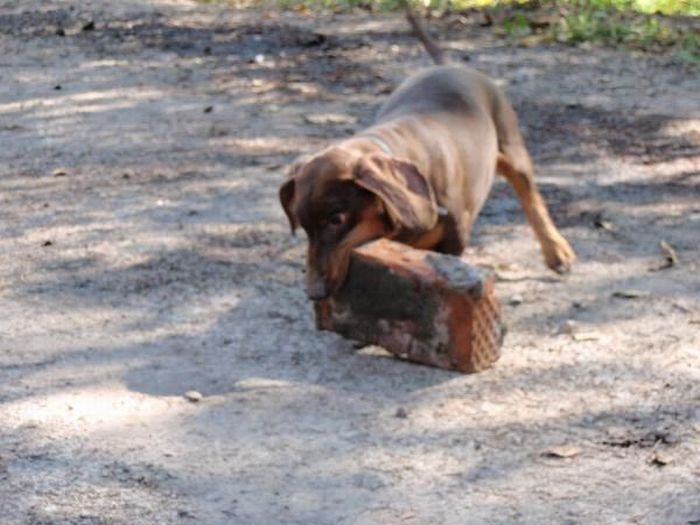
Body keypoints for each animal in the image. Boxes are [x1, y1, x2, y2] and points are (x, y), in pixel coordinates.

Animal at [278, 6, 576, 298]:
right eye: (302, 225)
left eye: (336, 220)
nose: (314, 293)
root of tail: (449, 65)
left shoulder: (453, 240)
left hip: (512, 146)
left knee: (531, 197)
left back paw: (556, 250)